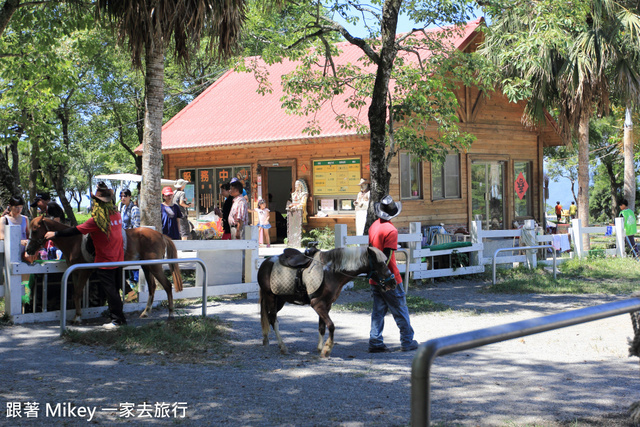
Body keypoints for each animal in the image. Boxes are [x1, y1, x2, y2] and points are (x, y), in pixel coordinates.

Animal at [25, 217, 182, 324]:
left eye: (35, 230)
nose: (28, 249)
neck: (74, 241)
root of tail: (160, 235)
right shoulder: (75, 272)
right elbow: (76, 294)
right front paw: (77, 315)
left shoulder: (84, 271)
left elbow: (77, 293)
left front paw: (77, 317)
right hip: (146, 266)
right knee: (153, 287)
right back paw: (146, 312)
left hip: (154, 266)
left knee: (167, 286)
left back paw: (171, 314)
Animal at [258, 244, 398, 358]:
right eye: (381, 264)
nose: (393, 282)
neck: (331, 272)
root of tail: (265, 263)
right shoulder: (317, 305)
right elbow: (331, 325)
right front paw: (327, 349)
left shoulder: (327, 305)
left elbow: (322, 327)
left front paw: (320, 348)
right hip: (270, 297)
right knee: (273, 320)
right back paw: (282, 346)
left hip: (279, 300)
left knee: (269, 318)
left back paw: (266, 340)